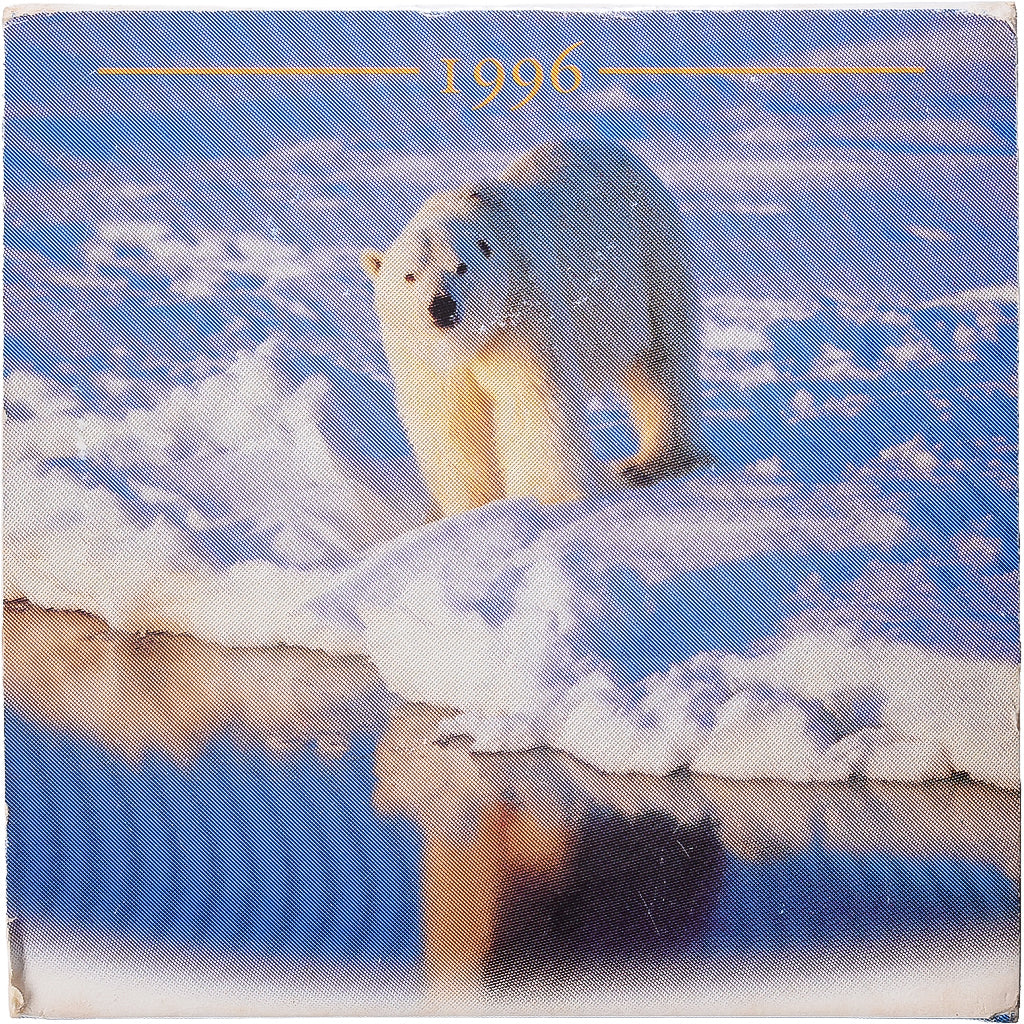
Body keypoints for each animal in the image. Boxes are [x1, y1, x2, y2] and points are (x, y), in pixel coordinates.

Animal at [361, 138, 708, 518]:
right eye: (409, 276)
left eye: (461, 266)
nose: (441, 306)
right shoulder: (422, 356)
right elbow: (450, 421)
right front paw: (470, 509)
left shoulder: (522, 321)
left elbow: (530, 404)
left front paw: (540, 501)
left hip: (653, 262)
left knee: (664, 362)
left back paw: (652, 462)